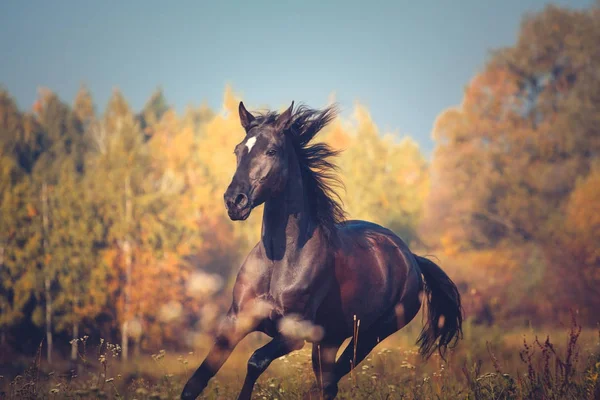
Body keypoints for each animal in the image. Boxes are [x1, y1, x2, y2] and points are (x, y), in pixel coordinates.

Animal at [180, 101, 462, 398]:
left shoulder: (293, 335)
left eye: (271, 151)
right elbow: (197, 380)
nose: (235, 201)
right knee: (328, 383)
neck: (279, 261)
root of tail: (411, 258)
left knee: (331, 380)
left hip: (370, 335)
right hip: (329, 340)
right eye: (238, 150)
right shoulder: (236, 322)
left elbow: (255, 360)